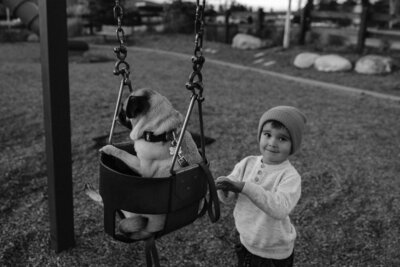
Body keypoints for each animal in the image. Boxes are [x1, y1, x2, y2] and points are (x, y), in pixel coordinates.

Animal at [86, 88, 202, 241]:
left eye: (124, 110)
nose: (117, 115)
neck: (159, 131)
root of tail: (150, 232)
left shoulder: (141, 166)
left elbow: (122, 152)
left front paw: (110, 148)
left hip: (131, 210)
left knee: (106, 202)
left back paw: (91, 191)